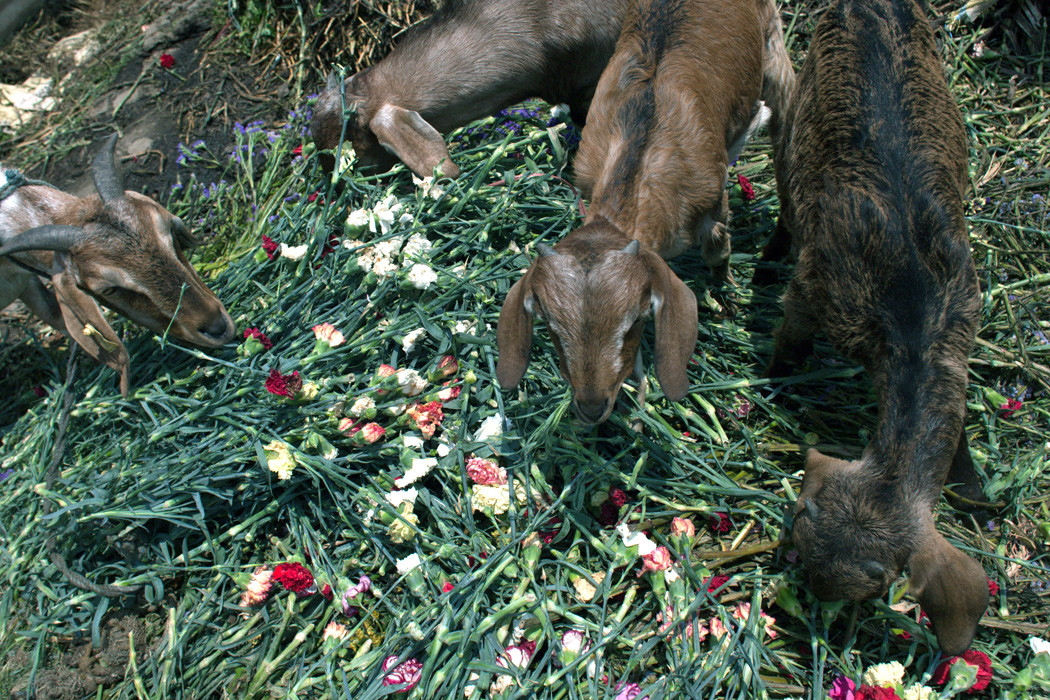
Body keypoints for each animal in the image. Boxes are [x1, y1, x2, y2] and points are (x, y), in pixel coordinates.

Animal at [495, 0, 789, 423]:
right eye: (550, 327)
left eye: (635, 321)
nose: (591, 407)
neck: (642, 138)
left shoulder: (713, 195)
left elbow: (717, 249)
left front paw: (728, 296)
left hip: (774, 44)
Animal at [768, 0, 986, 659]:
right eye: (796, 523)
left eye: (877, 582)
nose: (801, 605)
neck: (909, 322)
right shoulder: (818, 285)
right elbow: (789, 339)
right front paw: (774, 381)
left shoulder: (965, 312)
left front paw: (976, 492)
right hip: (797, 107)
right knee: (784, 192)